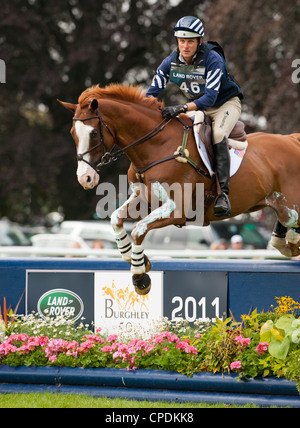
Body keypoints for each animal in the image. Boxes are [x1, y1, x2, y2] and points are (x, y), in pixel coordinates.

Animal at [58, 83, 300, 294]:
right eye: (72, 133)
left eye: (94, 134)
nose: (85, 178)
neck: (156, 146)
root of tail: (292, 140)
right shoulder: (144, 200)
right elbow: (116, 218)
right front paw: (133, 257)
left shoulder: (178, 210)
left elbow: (138, 229)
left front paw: (140, 277)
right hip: (284, 207)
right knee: (285, 225)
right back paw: (287, 243)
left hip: (291, 205)